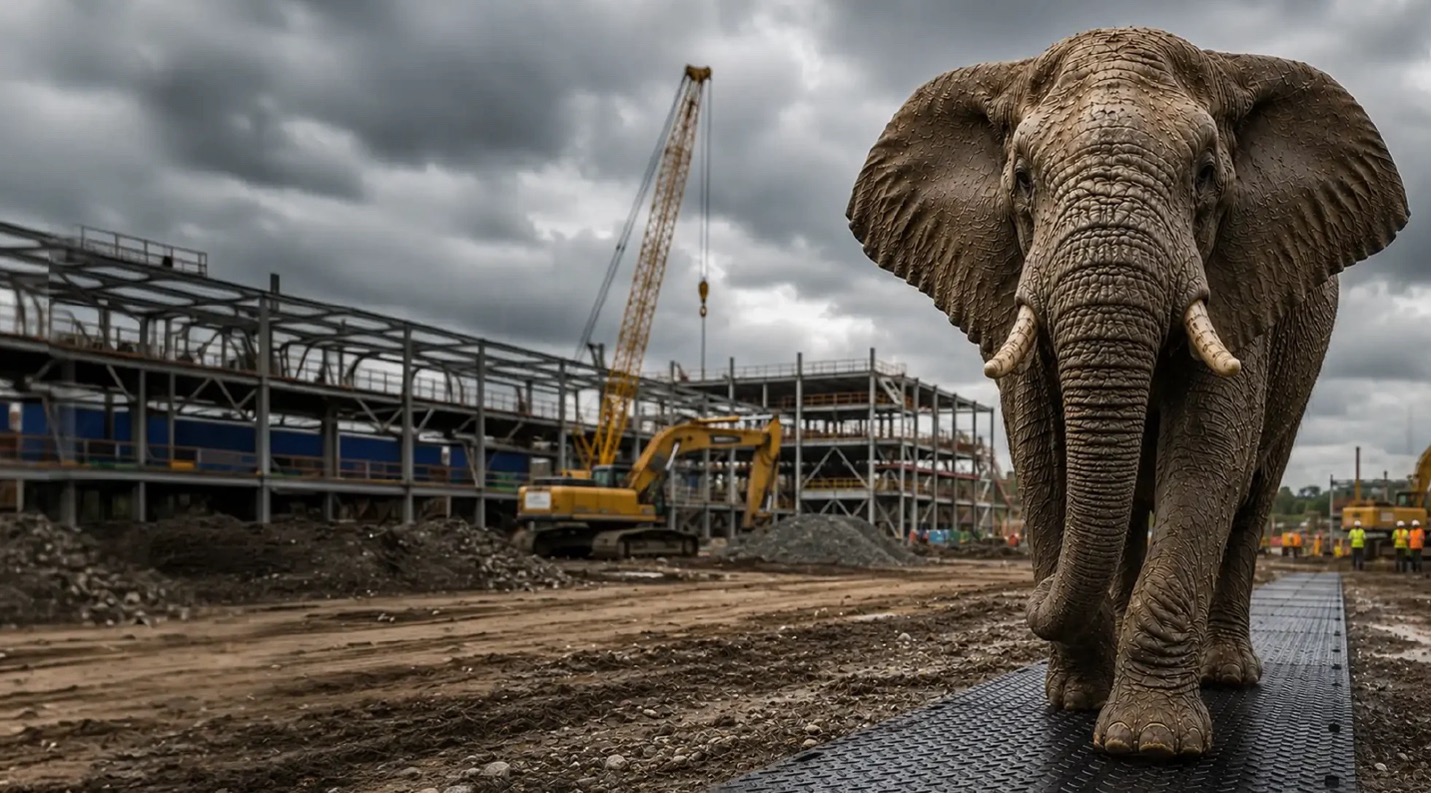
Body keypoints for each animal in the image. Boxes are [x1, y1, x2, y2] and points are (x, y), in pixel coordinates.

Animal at [846, 27, 1408, 758]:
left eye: (1205, 173)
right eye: (1021, 178)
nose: (1032, 593)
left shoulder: (1245, 274)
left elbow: (1208, 450)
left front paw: (1148, 744)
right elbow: (1039, 452)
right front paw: (1077, 699)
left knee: (1252, 498)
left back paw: (1227, 673)